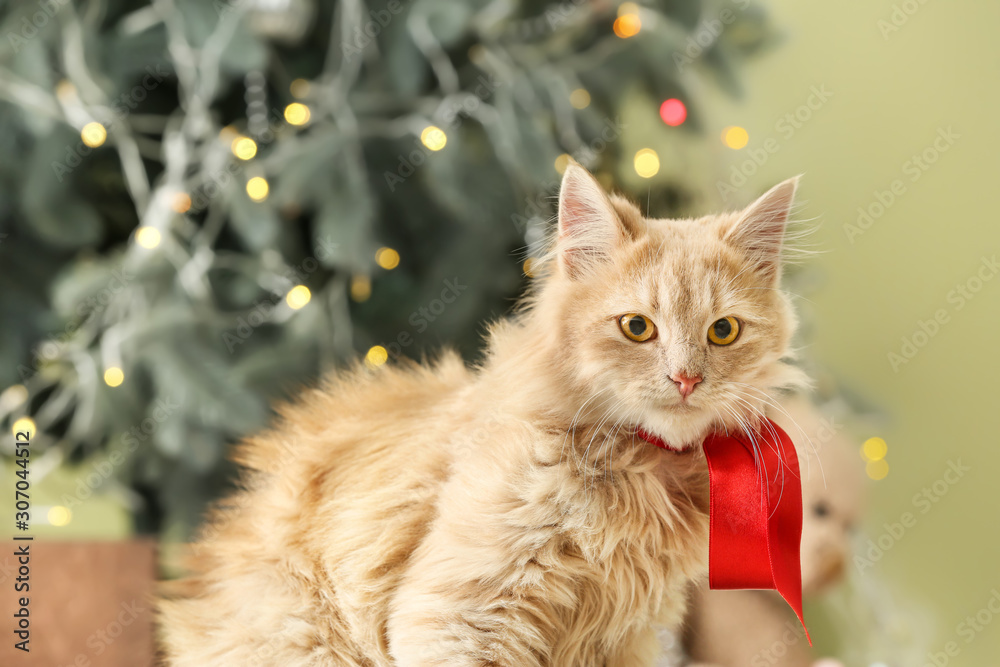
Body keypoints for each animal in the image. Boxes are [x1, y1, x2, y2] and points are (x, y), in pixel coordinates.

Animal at [160, 163, 808, 667]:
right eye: (636, 328)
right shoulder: (459, 615)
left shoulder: (623, 639)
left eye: (722, 332)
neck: (637, 471)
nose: (686, 379)